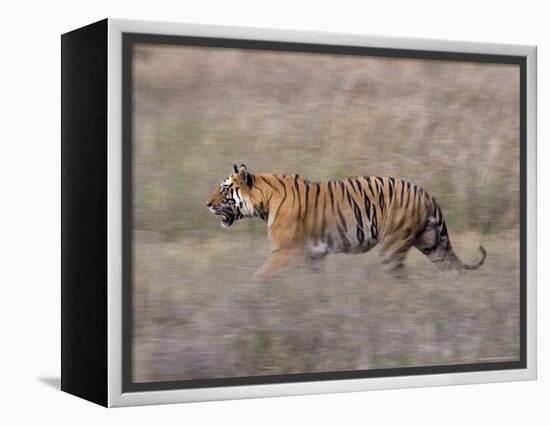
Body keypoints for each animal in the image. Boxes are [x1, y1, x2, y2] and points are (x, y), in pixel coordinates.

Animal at [207, 163, 488, 280]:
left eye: (224, 189)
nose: (207, 204)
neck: (264, 201)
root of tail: (426, 193)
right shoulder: (313, 256)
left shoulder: (285, 252)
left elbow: (260, 276)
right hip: (431, 242)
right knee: (452, 269)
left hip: (392, 246)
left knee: (399, 281)